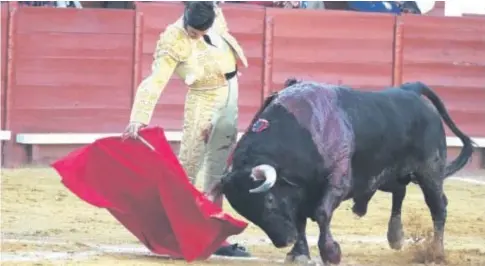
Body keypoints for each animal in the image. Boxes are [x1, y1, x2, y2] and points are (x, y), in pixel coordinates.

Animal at [209, 79, 472, 264]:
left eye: (270, 200)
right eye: (246, 212)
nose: (284, 241)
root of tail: (411, 89)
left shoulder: (337, 182)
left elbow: (321, 213)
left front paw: (331, 253)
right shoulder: (300, 193)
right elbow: (300, 220)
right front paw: (299, 253)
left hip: (430, 172)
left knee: (438, 206)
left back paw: (436, 251)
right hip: (392, 173)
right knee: (399, 191)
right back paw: (395, 236)